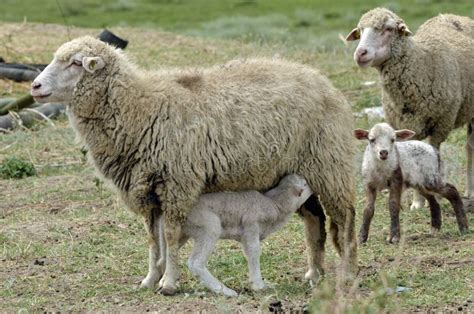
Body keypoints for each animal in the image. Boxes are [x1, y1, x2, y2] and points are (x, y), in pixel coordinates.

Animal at [157, 174, 312, 296]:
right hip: (209, 226)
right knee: (195, 263)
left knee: (168, 252)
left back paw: (164, 281)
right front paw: (258, 285)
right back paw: (225, 291)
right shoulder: (251, 227)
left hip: (183, 232)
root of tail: (168, 211)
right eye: (305, 184)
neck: (275, 204)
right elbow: (254, 252)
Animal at [344, 7, 474, 211]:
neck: (421, 64)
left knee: (470, 146)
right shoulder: (403, 123)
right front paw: (416, 201)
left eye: (388, 29)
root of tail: (453, 15)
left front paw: (427, 199)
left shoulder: (441, 125)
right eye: (360, 31)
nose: (360, 53)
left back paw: (471, 191)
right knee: (469, 146)